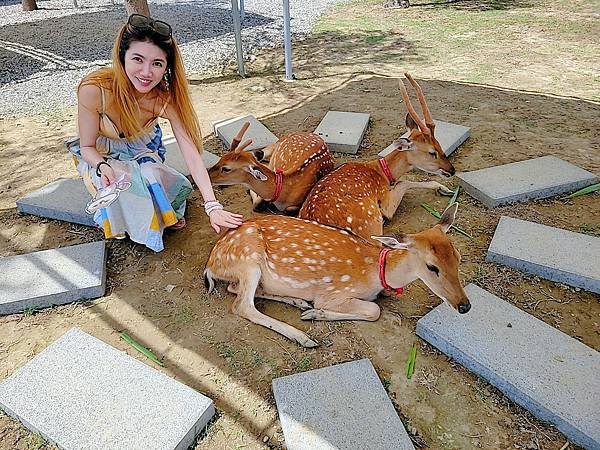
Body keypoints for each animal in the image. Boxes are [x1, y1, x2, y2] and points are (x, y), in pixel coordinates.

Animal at [204, 204, 472, 348]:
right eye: (432, 267)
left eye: (459, 256)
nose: (465, 306)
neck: (375, 273)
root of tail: (211, 263)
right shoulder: (333, 292)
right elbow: (374, 310)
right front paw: (316, 314)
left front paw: (311, 311)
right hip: (248, 259)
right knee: (241, 305)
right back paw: (303, 336)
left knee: (235, 290)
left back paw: (298, 302)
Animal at [298, 74, 458, 241]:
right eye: (432, 152)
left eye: (440, 144)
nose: (452, 170)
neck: (382, 172)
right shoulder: (386, 205)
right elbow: (404, 182)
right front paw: (444, 188)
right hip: (371, 224)